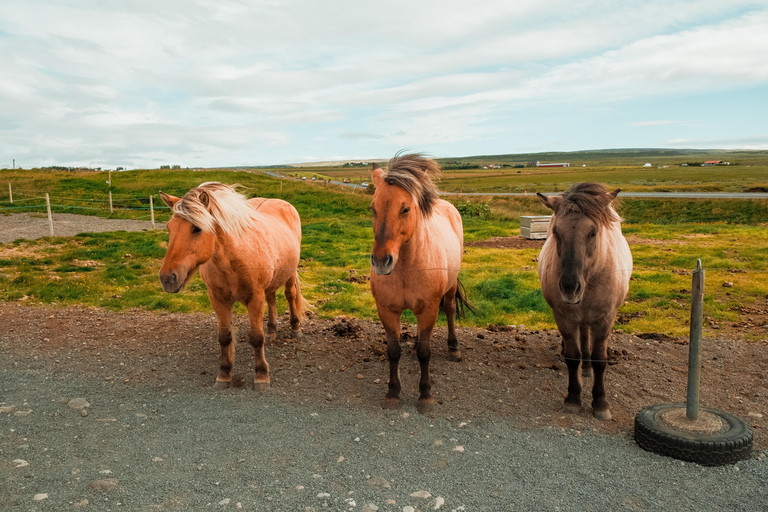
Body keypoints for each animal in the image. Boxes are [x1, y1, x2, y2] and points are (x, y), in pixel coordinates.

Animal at [158, 182, 304, 390]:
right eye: (169, 228)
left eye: (197, 228)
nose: (167, 278)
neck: (233, 257)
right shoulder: (218, 299)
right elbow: (225, 337)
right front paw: (224, 374)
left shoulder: (255, 298)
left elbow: (256, 337)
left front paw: (261, 375)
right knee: (272, 299)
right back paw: (271, 331)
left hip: (290, 274)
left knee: (290, 295)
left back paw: (295, 329)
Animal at [368, 154, 472, 414]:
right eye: (373, 208)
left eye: (405, 208)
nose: (381, 262)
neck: (406, 267)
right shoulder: (387, 311)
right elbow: (393, 352)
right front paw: (392, 393)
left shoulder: (429, 310)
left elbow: (426, 353)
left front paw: (425, 396)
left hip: (450, 288)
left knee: (450, 310)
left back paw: (453, 348)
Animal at [536, 183, 632, 420]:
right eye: (555, 231)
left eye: (593, 232)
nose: (570, 287)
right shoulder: (564, 317)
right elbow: (573, 357)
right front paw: (572, 398)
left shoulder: (605, 319)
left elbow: (599, 359)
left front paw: (600, 402)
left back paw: (587, 368)